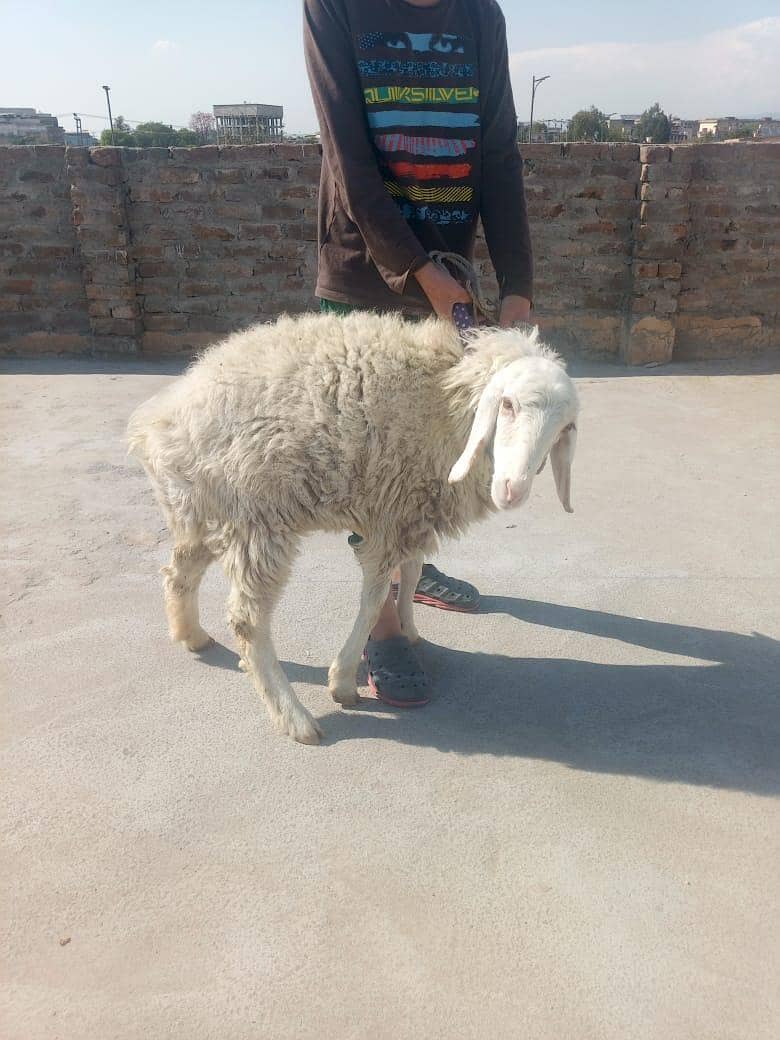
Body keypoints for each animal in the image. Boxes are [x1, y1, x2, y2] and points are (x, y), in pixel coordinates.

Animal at [127, 311, 579, 745]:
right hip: (256, 519)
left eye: (564, 428)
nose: (512, 490)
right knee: (246, 620)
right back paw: (294, 718)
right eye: (508, 405)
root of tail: (158, 422)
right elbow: (375, 599)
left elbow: (412, 573)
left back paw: (190, 634)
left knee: (178, 573)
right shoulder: (388, 517)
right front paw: (343, 679)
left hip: (204, 511)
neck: (445, 402)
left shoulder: (412, 511)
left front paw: (411, 631)